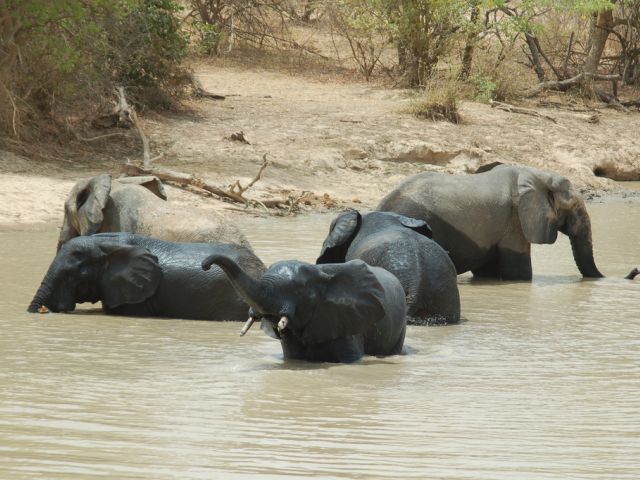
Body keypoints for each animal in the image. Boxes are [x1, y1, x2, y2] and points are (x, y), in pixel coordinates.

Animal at [378, 164, 604, 280]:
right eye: (574, 209)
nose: (603, 277)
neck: (537, 174)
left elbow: (487, 271)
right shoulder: (515, 220)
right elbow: (519, 272)